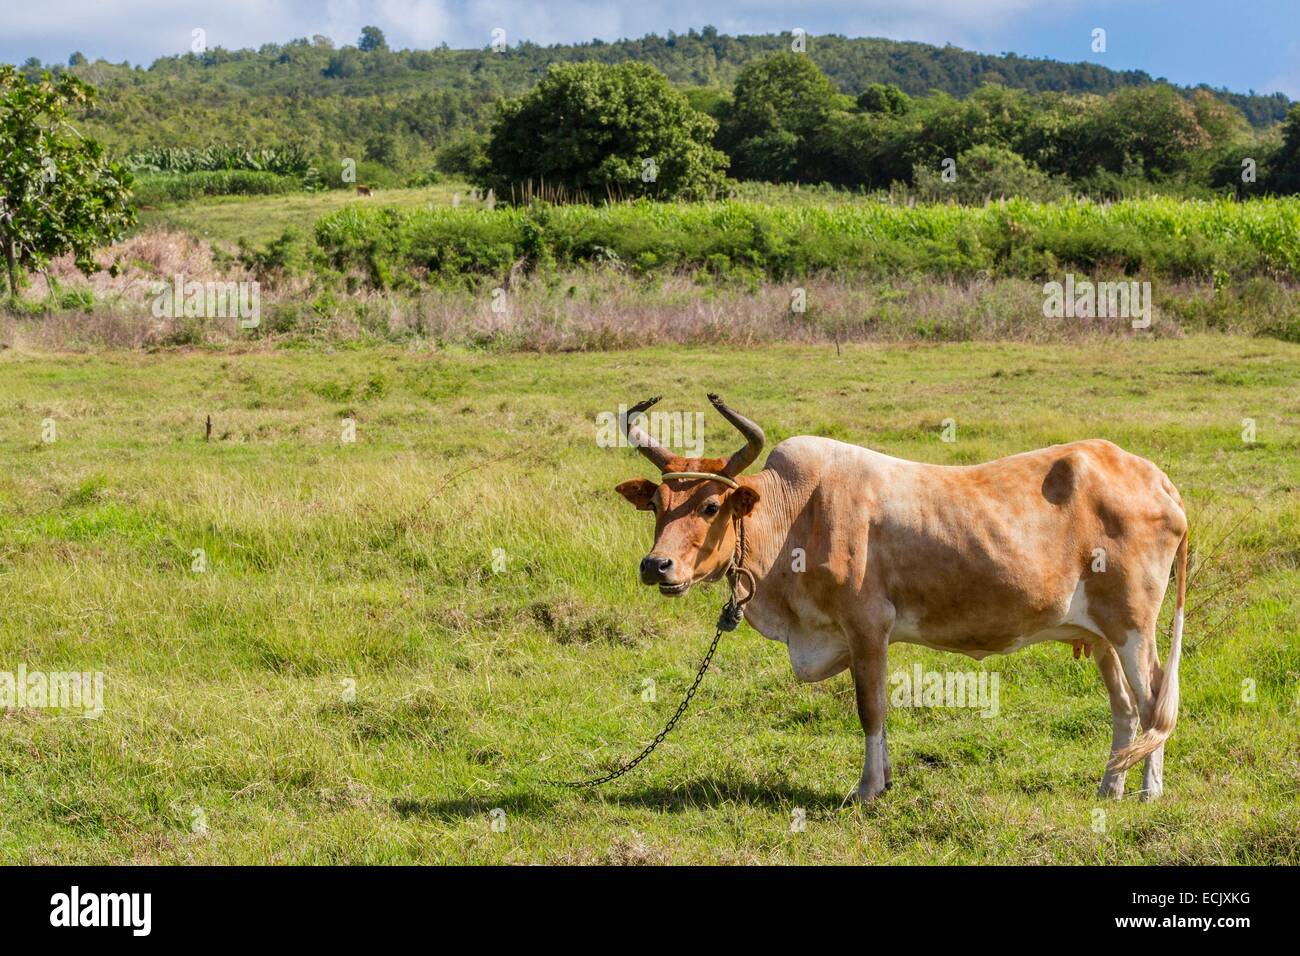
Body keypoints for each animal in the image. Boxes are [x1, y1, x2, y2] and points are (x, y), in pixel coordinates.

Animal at [616, 392, 1190, 806]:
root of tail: (1151, 474)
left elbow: (871, 709)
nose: (655, 565)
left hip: (1134, 626)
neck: (795, 514)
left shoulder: (867, 627)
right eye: (658, 505)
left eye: (711, 505)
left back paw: (1148, 790)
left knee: (1152, 700)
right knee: (1125, 709)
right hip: (1100, 635)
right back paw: (1110, 786)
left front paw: (868, 789)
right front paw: (885, 779)